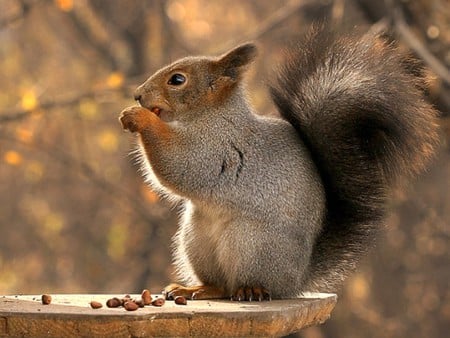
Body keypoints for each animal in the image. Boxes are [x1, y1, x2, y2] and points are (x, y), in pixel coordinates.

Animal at [118, 27, 438, 302]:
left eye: (177, 80)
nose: (138, 94)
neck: (210, 115)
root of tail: (297, 279)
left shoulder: (216, 150)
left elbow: (179, 164)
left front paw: (139, 117)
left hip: (250, 243)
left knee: (243, 284)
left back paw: (251, 290)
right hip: (197, 239)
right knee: (220, 285)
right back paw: (195, 288)